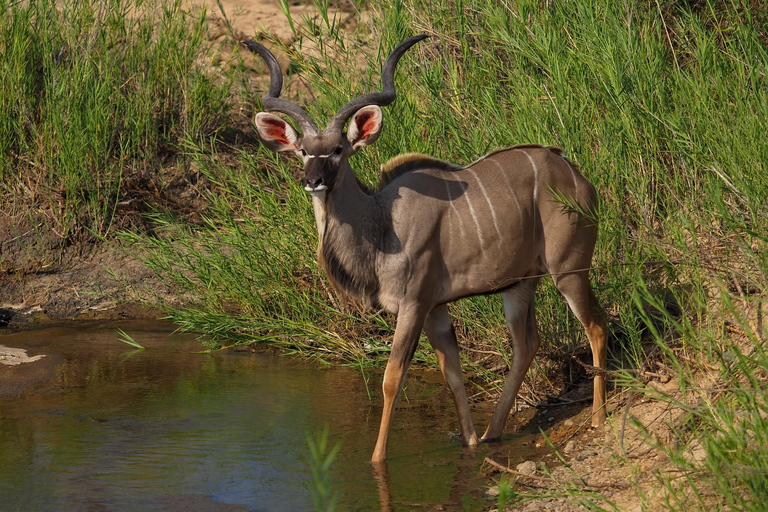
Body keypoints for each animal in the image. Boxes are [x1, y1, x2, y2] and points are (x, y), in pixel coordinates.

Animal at [246, 34, 608, 462]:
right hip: (520, 285)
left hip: (569, 269)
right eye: (303, 150)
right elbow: (452, 374)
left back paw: (598, 418)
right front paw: (471, 443)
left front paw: (377, 460)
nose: (314, 180)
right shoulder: (436, 308)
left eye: (338, 149)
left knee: (596, 327)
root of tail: (578, 178)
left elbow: (392, 377)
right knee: (527, 344)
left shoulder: (414, 304)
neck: (383, 223)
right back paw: (492, 433)